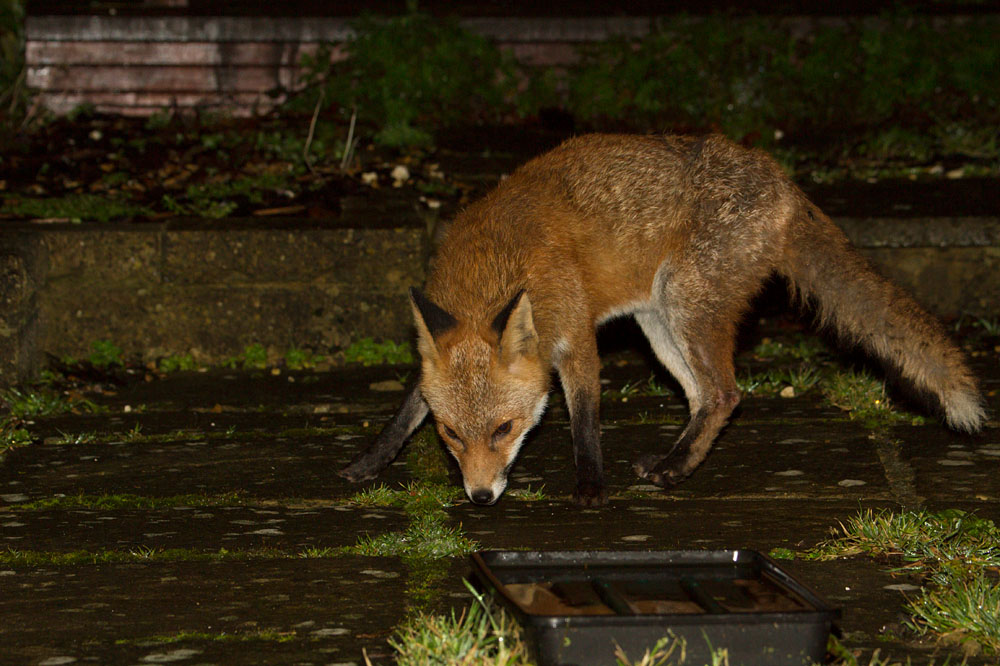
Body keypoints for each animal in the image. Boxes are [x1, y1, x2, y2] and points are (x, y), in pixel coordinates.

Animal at [339, 133, 986, 506]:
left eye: (504, 430)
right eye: (451, 435)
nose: (478, 496)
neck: (494, 266)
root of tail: (781, 178)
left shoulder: (574, 336)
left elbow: (584, 420)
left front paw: (590, 487)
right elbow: (405, 411)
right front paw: (367, 463)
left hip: (684, 305)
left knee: (726, 393)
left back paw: (674, 472)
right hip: (660, 324)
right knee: (707, 397)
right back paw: (673, 464)